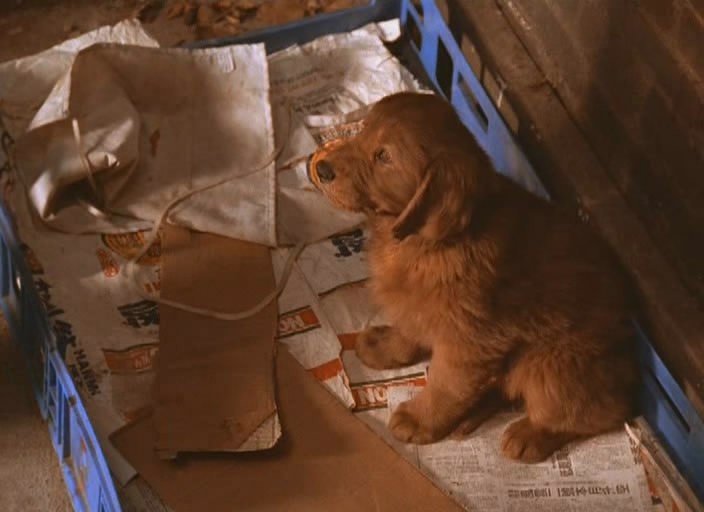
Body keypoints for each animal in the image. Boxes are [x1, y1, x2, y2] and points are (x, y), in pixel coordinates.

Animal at [307, 92, 638, 462]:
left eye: (384, 156)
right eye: (362, 130)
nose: (321, 168)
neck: (423, 243)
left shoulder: (470, 342)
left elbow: (446, 385)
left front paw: (420, 419)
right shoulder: (418, 304)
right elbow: (408, 329)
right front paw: (385, 346)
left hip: (552, 365)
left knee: (597, 413)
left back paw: (530, 435)